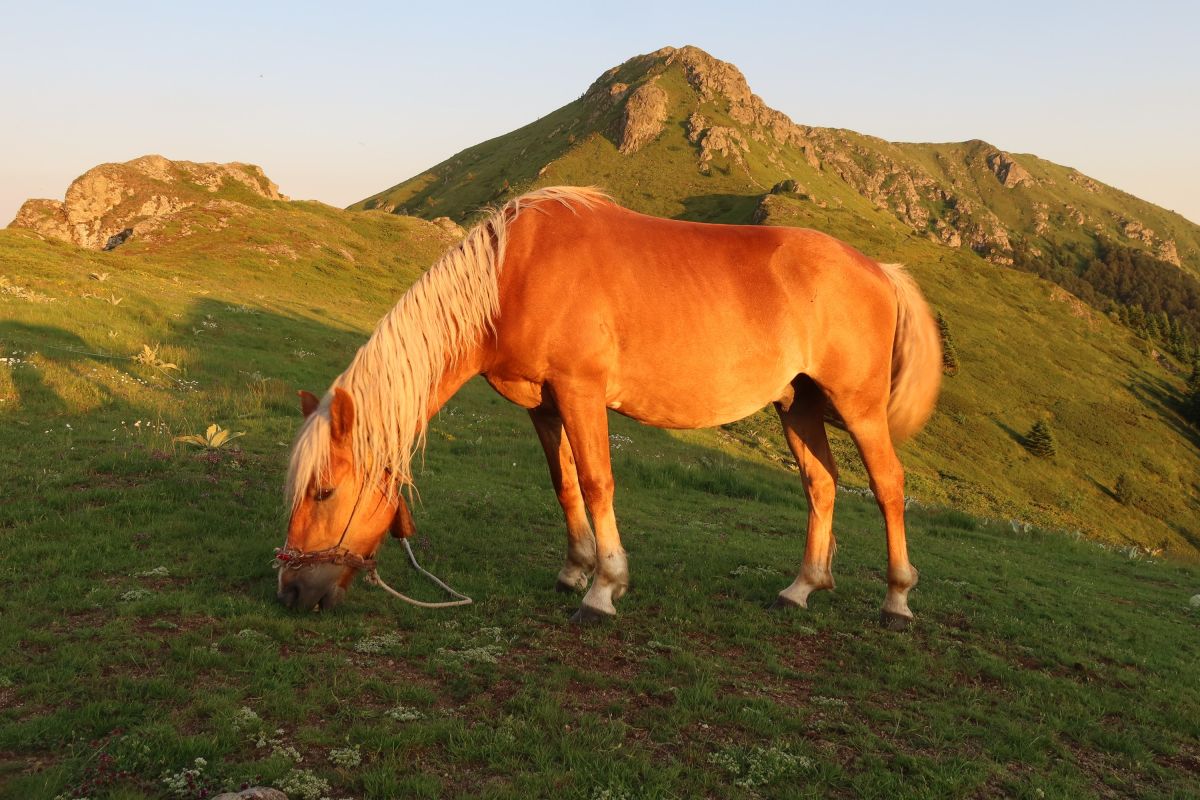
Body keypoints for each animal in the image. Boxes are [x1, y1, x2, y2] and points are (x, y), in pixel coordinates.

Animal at [276, 184, 940, 628]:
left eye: (324, 491)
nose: (290, 590)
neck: (514, 274)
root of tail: (878, 268)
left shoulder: (581, 391)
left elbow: (598, 483)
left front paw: (604, 589)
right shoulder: (543, 406)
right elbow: (565, 483)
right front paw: (575, 570)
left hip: (857, 407)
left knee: (887, 486)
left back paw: (897, 600)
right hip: (797, 405)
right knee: (821, 486)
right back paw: (801, 587)